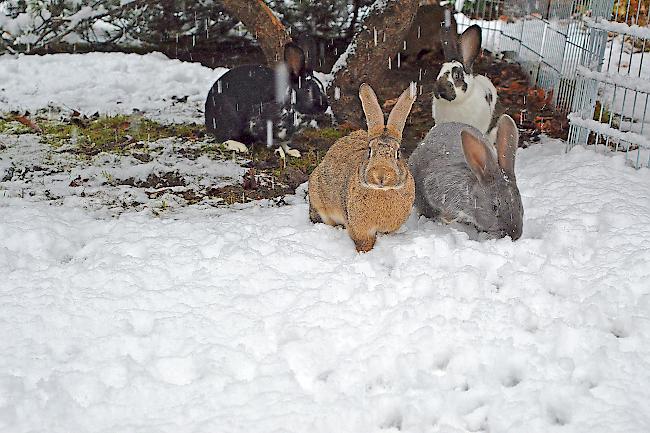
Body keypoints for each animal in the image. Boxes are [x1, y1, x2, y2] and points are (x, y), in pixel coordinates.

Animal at [308, 82, 416, 251]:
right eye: (370, 151)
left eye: (398, 153)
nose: (381, 176)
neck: (382, 191)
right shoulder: (359, 228)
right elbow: (364, 242)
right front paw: (364, 253)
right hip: (318, 198)